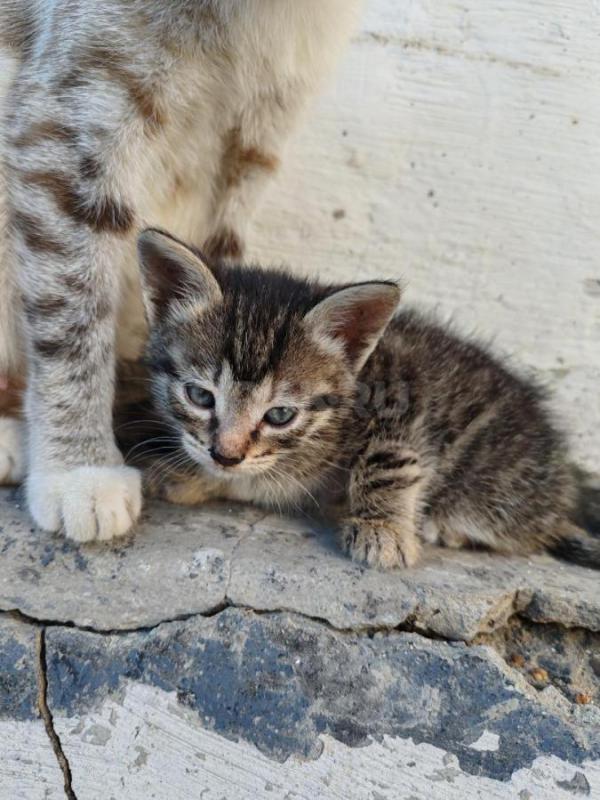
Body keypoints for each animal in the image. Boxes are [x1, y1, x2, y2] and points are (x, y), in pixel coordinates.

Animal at [136, 228, 600, 572]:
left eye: (280, 415)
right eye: (200, 396)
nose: (225, 455)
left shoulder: (403, 395)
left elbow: (387, 459)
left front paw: (384, 528)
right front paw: (189, 473)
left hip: (496, 486)